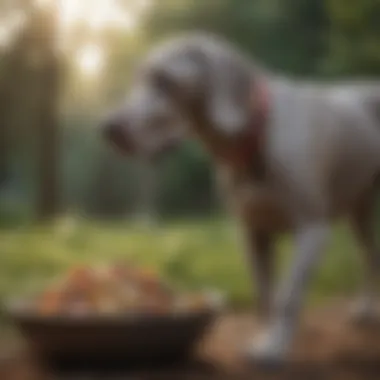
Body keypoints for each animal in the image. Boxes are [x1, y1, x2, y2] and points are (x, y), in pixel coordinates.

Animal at [100, 33, 380, 366]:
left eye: (165, 81)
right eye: (137, 78)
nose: (108, 128)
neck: (255, 141)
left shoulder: (312, 230)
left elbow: (287, 296)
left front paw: (274, 348)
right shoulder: (252, 233)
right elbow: (265, 295)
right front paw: (266, 336)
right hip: (360, 209)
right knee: (368, 255)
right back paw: (365, 308)